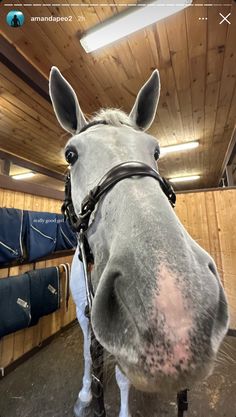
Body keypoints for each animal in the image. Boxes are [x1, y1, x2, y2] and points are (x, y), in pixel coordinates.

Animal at [49, 66, 229, 414]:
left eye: (156, 151)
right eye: (71, 154)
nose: (173, 305)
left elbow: (122, 378)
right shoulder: (82, 315)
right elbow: (88, 355)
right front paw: (85, 395)